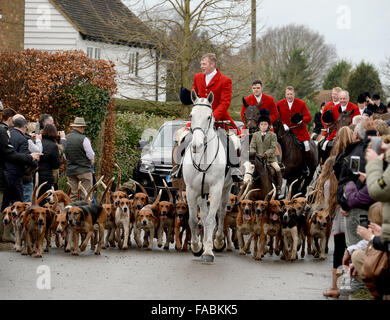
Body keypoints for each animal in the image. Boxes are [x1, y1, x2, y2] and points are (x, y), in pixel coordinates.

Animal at [182, 89, 233, 262]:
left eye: (209, 117)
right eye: (191, 115)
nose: (196, 145)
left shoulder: (215, 189)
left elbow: (211, 219)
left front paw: (209, 251)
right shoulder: (191, 190)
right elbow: (193, 220)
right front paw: (197, 247)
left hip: (226, 189)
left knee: (221, 213)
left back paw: (217, 241)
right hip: (201, 193)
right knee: (203, 215)